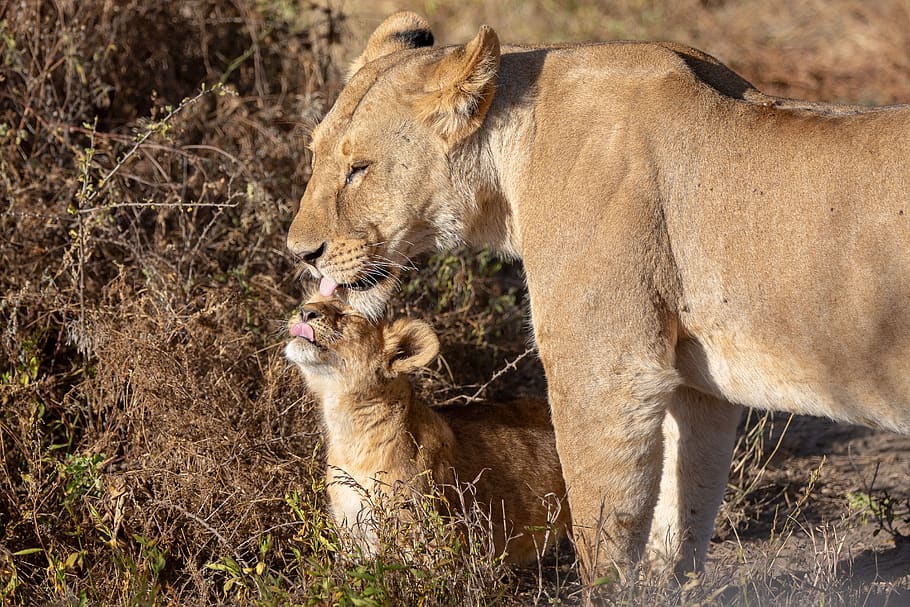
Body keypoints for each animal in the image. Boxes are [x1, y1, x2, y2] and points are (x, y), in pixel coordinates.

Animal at [285, 295, 569, 563]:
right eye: (313, 300)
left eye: (348, 315)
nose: (304, 311)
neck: (350, 434)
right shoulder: (353, 533)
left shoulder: (425, 541)